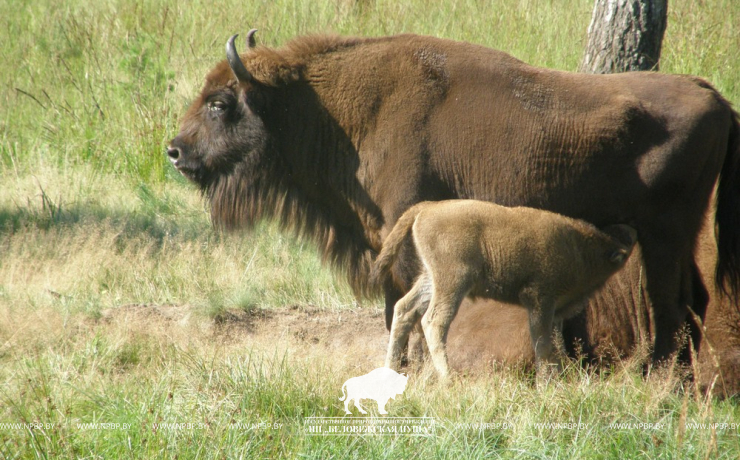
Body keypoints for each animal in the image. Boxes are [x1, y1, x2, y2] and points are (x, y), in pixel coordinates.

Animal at [372, 200, 640, 380]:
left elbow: (554, 344)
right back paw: (448, 378)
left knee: (404, 309)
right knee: (434, 321)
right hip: (453, 283)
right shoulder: (540, 300)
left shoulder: (555, 312)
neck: (579, 247)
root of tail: (428, 207)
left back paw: (389, 370)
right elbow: (542, 343)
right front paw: (546, 381)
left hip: (431, 280)